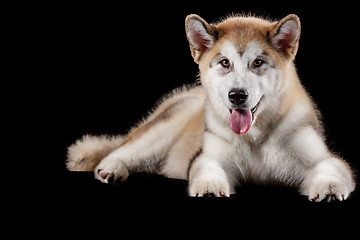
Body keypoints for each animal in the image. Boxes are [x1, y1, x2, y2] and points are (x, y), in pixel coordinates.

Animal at [67, 12, 354, 201]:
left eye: (258, 63)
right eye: (225, 62)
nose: (237, 95)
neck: (256, 139)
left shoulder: (322, 158)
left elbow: (329, 168)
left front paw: (329, 188)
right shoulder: (209, 156)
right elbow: (208, 168)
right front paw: (209, 187)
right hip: (161, 130)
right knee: (121, 151)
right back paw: (112, 168)